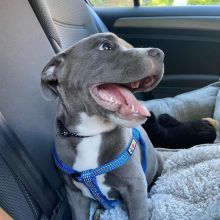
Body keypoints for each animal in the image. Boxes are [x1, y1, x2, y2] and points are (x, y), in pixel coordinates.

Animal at [41, 33, 164, 220]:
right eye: (106, 46)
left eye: (130, 46)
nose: (160, 53)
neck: (90, 133)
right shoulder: (75, 195)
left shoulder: (135, 186)